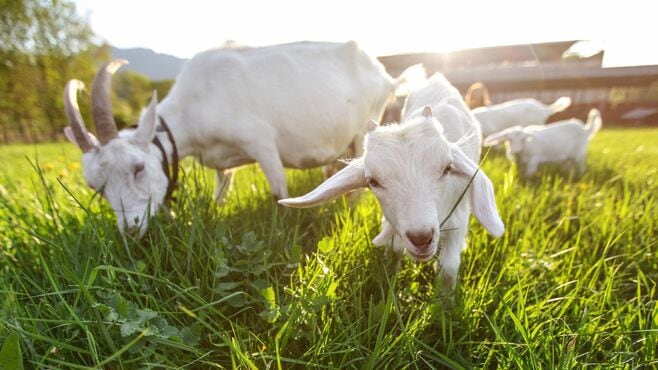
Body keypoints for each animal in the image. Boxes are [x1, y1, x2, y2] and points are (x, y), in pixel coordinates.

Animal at [64, 42, 422, 236]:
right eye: (96, 187)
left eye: (138, 167)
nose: (132, 229)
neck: (194, 103)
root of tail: (387, 78)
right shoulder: (222, 165)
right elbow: (220, 195)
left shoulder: (261, 142)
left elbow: (278, 191)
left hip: (364, 127)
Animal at [276, 74, 502, 290]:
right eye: (373, 182)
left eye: (447, 168)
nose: (421, 238)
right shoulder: (395, 221)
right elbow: (394, 250)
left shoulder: (459, 216)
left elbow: (449, 268)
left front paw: (444, 300)